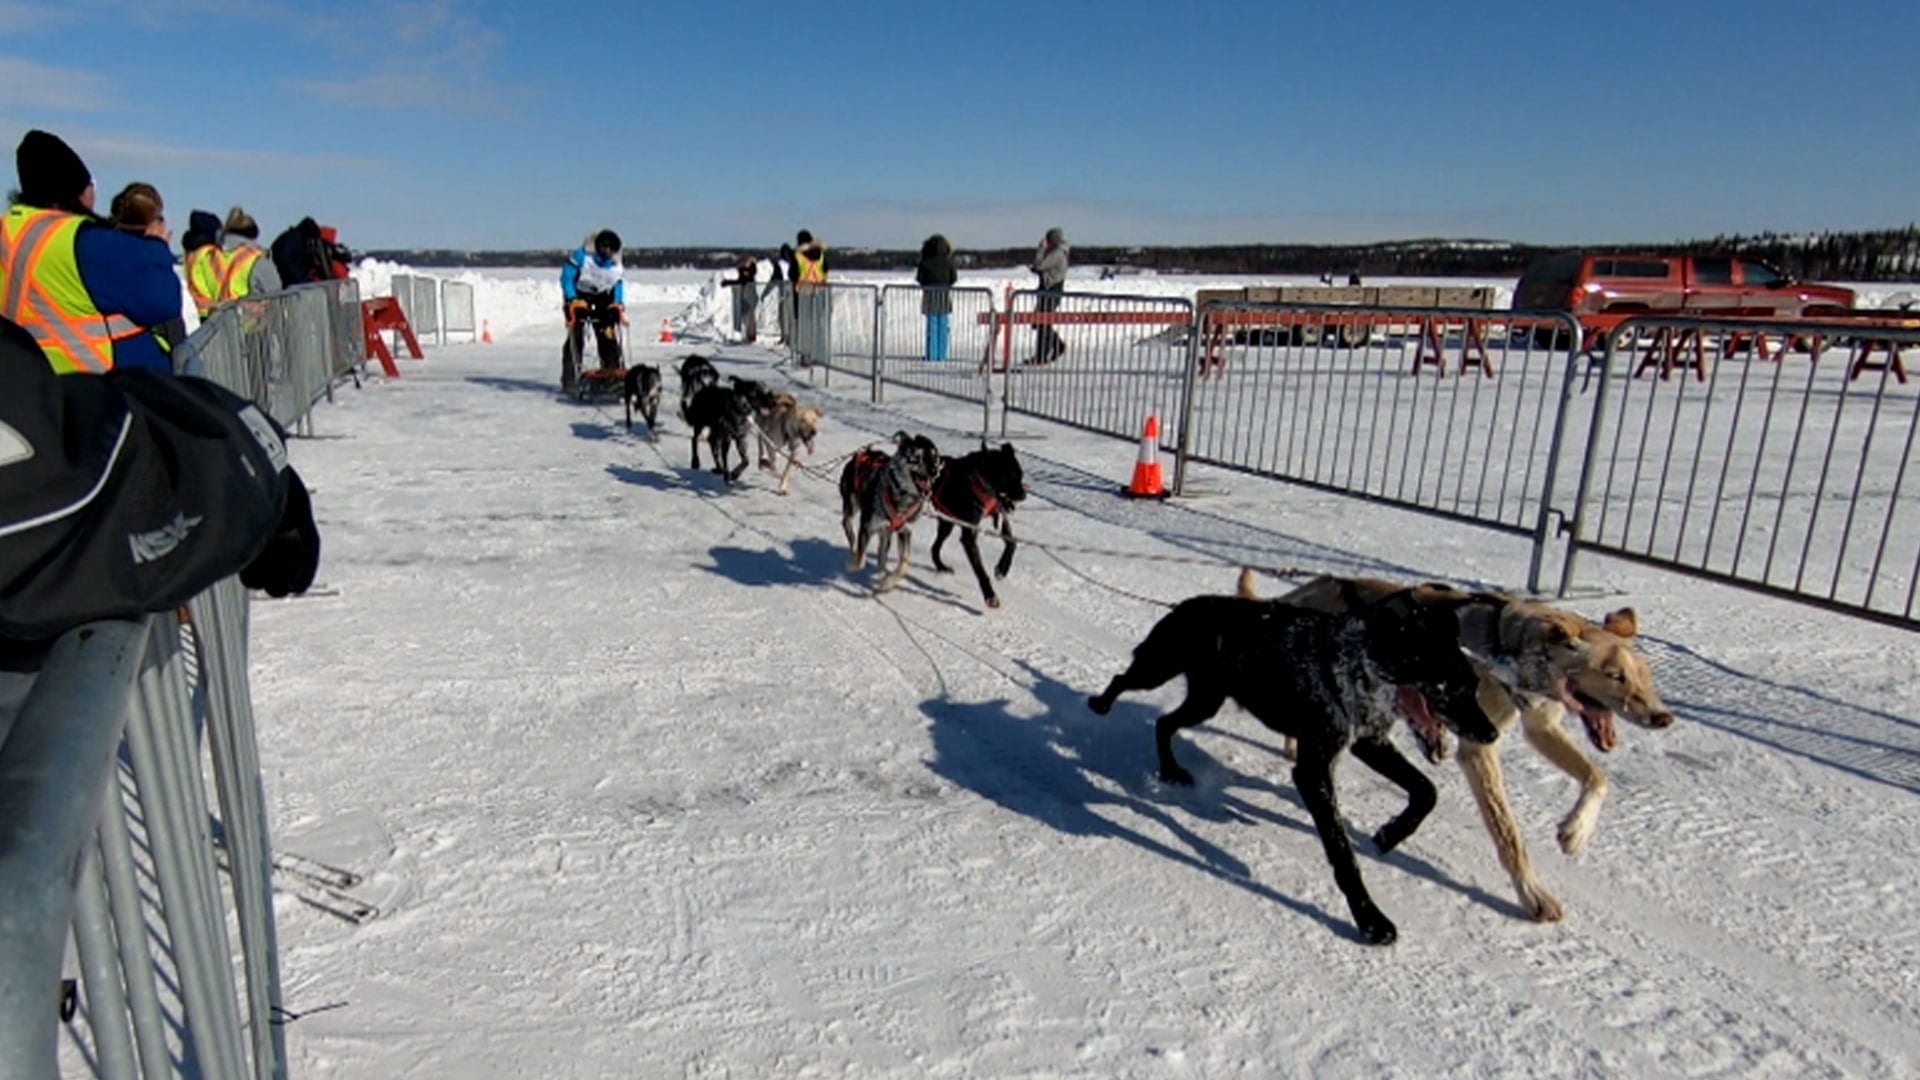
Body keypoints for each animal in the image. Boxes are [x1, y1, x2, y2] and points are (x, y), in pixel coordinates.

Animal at [1244, 568, 1681, 922]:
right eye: (1615, 675)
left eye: (1646, 676)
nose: (1663, 717)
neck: (1509, 650)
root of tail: (1321, 585)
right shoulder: (1478, 747)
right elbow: (1508, 833)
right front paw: (1533, 894)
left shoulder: (1538, 725)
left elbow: (1597, 777)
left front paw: (1575, 831)